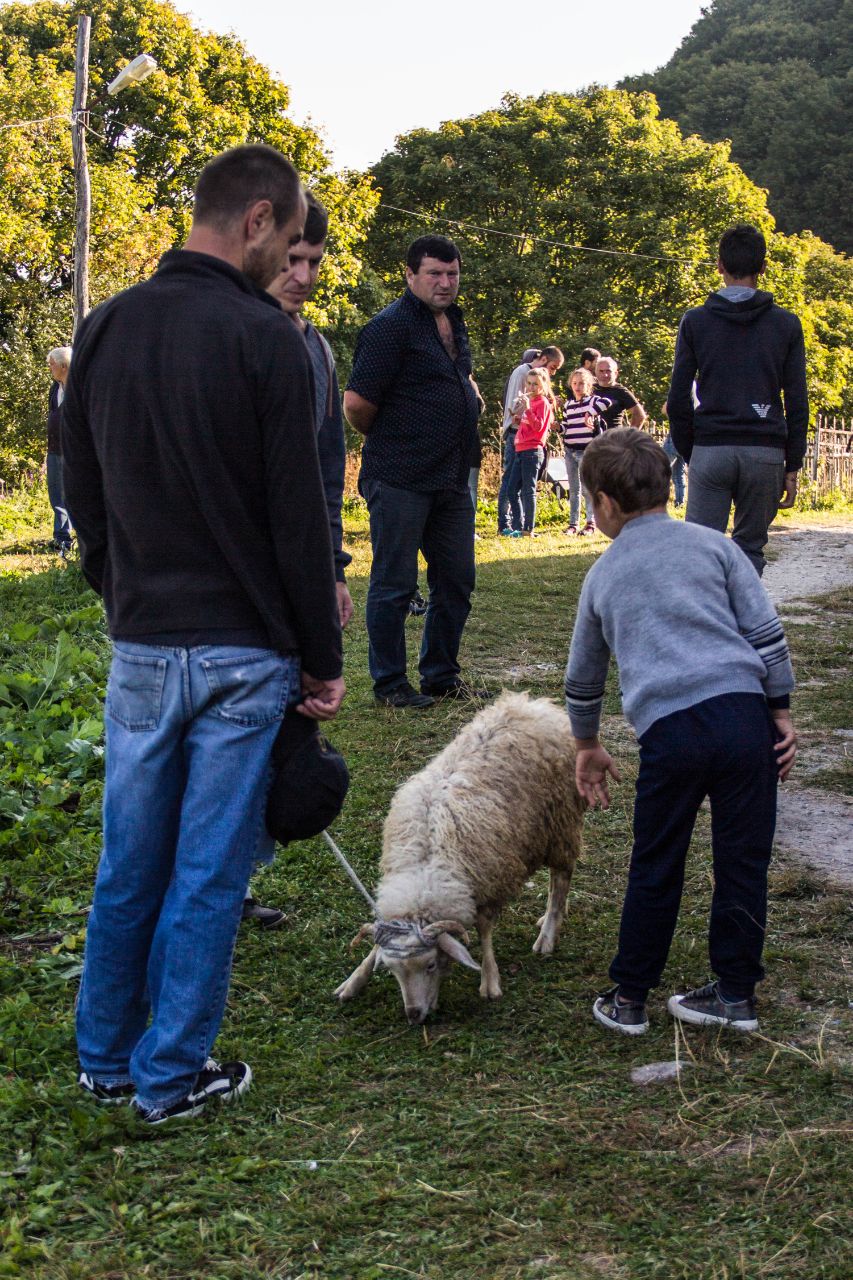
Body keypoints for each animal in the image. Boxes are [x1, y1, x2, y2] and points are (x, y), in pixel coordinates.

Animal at [333, 696, 584, 1024]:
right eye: (392, 970)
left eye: (430, 965)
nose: (414, 1015)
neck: (424, 870)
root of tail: (532, 704)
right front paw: (354, 980)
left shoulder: (488, 881)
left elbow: (485, 930)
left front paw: (490, 980)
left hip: (560, 822)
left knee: (561, 876)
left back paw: (548, 932)